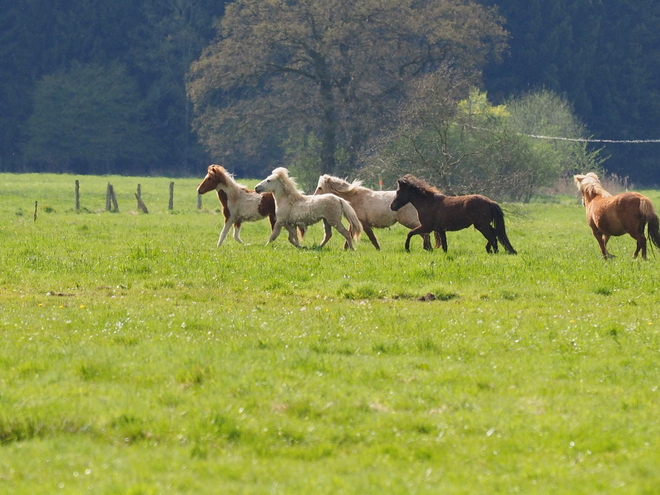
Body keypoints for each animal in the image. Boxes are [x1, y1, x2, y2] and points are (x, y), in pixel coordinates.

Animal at [390, 174, 520, 254]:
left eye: (398, 191)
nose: (392, 206)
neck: (428, 203)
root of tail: (490, 202)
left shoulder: (426, 227)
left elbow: (410, 233)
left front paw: (407, 248)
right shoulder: (440, 229)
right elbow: (444, 245)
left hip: (481, 225)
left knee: (492, 237)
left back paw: (494, 251)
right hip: (484, 225)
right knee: (495, 233)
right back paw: (491, 250)